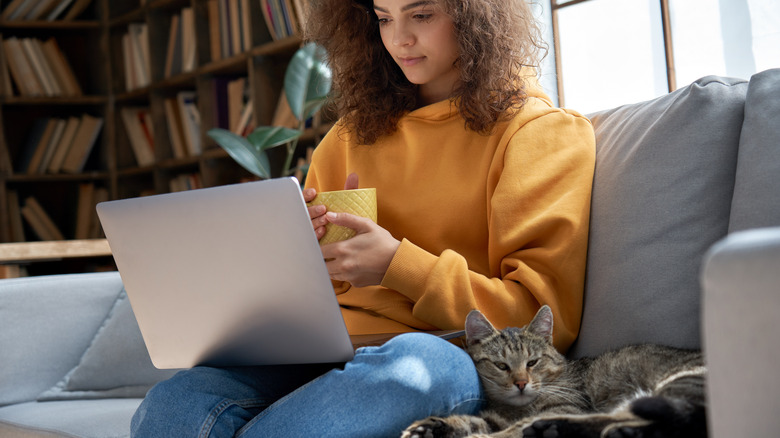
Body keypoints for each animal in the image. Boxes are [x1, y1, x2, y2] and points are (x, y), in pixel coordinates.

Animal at [402, 306, 708, 436]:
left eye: (532, 363)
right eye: (501, 365)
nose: (521, 383)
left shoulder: (570, 405)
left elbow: (500, 433)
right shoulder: (496, 417)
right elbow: (475, 421)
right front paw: (433, 427)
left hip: (677, 384)